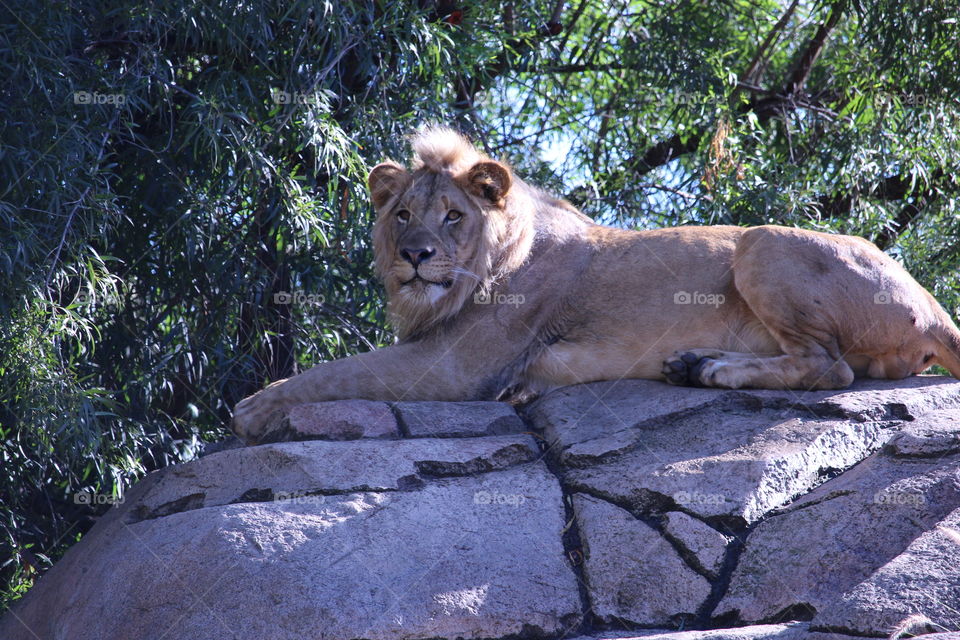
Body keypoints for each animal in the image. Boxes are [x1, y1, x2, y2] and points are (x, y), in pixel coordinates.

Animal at [231, 127, 960, 442]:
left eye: (453, 216)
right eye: (402, 214)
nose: (415, 255)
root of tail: (932, 304)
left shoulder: (460, 366)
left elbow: (338, 371)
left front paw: (252, 409)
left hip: (759, 242)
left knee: (828, 368)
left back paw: (712, 370)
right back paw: (693, 364)